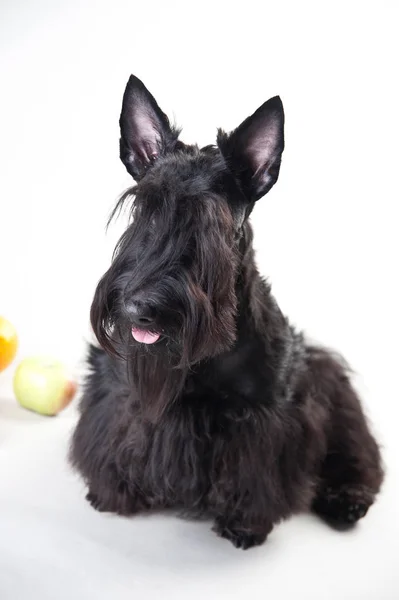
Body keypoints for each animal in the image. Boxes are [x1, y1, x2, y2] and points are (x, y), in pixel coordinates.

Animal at [69, 75, 384, 548]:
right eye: (144, 208)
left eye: (212, 224)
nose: (139, 307)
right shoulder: (118, 396)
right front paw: (112, 492)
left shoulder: (265, 415)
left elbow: (255, 474)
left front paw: (245, 522)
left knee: (355, 457)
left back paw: (346, 500)